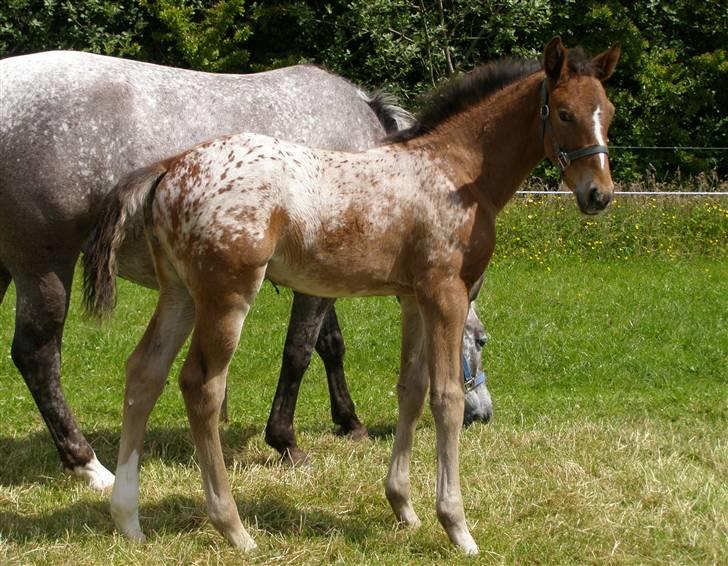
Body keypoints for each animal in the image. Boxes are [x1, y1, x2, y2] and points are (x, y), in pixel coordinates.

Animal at [1, 51, 494, 490]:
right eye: (482, 340)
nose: (482, 414)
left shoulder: (320, 277)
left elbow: (330, 346)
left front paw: (348, 421)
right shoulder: (314, 288)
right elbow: (298, 352)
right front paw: (286, 441)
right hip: (44, 268)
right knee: (36, 357)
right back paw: (88, 465)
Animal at [85, 38, 620, 556]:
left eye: (608, 111)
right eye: (565, 113)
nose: (599, 195)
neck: (456, 172)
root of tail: (171, 168)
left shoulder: (413, 299)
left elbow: (411, 389)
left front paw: (403, 507)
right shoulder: (446, 292)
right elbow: (445, 397)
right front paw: (457, 527)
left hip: (179, 295)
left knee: (144, 372)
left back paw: (128, 519)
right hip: (227, 296)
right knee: (201, 386)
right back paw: (233, 528)